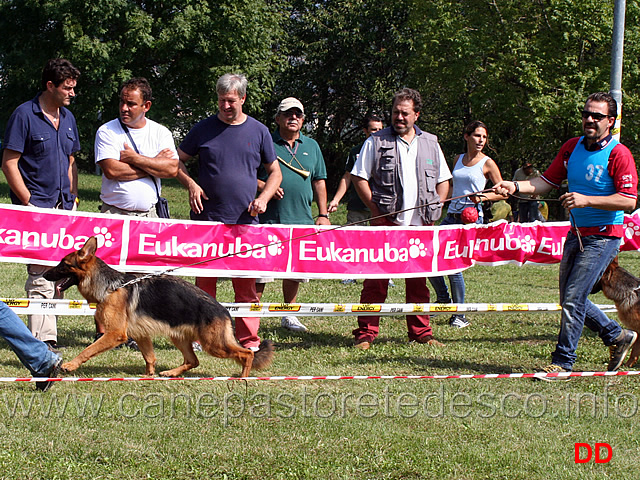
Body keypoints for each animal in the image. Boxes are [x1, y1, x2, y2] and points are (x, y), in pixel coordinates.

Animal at [43, 238, 274, 376]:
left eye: (63, 264)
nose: (44, 274)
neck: (111, 286)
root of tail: (223, 310)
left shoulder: (115, 334)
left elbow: (87, 350)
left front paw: (70, 365)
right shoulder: (141, 334)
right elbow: (150, 357)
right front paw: (148, 376)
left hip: (214, 345)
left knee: (247, 354)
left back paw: (243, 377)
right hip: (179, 337)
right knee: (194, 360)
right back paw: (171, 373)